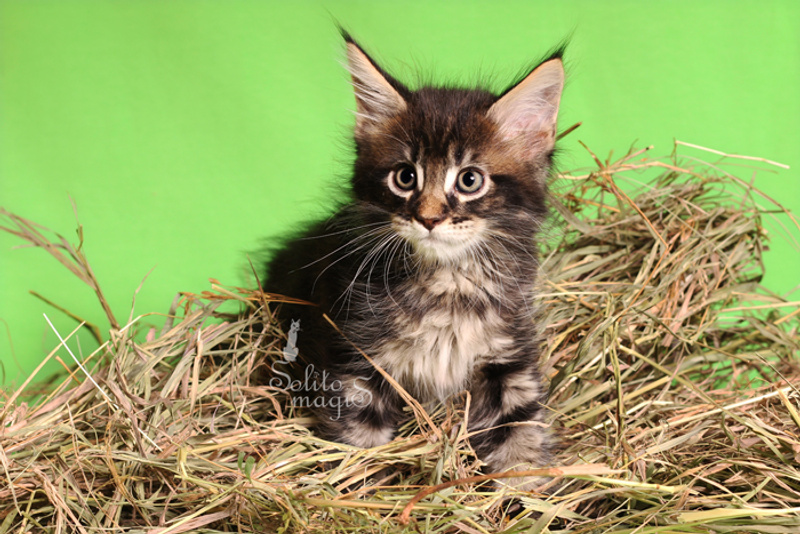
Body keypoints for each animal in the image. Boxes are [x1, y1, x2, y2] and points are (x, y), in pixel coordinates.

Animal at [263, 32, 563, 488]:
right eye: (405, 177)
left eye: (470, 180)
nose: (429, 218)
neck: (447, 285)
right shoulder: (357, 362)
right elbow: (357, 446)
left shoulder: (510, 359)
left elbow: (521, 436)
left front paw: (527, 490)